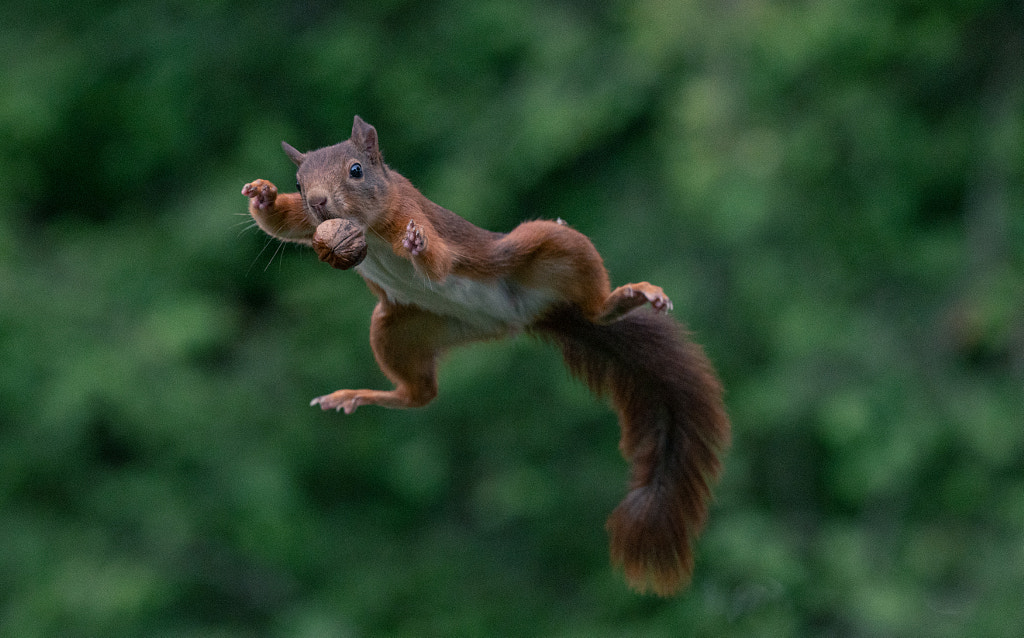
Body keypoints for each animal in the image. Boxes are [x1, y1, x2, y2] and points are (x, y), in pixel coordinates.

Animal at [243, 116, 733, 598]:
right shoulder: (308, 225)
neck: (368, 226)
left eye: (357, 170)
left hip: (544, 247)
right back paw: (358, 395)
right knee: (420, 394)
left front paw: (420, 246)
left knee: (592, 304)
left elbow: (439, 261)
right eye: (300, 183)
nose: (319, 202)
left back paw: (627, 296)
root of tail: (523, 316)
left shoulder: (410, 212)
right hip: (400, 328)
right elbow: (283, 225)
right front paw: (262, 194)